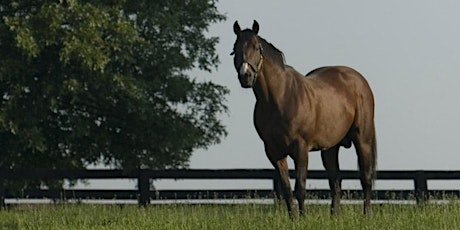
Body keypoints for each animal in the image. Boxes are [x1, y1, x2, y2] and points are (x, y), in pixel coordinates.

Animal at [232, 20, 376, 217]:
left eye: (256, 47)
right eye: (235, 49)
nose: (245, 76)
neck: (280, 98)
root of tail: (360, 81)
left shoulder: (300, 149)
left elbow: (300, 188)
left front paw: (303, 217)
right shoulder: (274, 152)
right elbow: (286, 189)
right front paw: (293, 218)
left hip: (363, 140)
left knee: (366, 178)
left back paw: (366, 215)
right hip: (330, 148)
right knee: (336, 181)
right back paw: (335, 217)